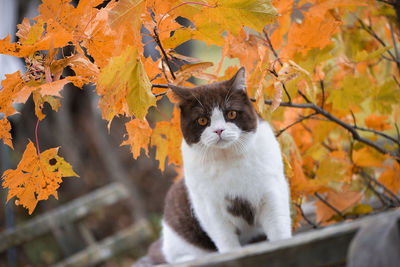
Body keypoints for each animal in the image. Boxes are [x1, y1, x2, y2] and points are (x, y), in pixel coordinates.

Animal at [134, 67, 290, 266]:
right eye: (202, 120)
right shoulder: (209, 208)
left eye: (231, 114)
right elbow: (227, 242)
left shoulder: (272, 190)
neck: (227, 158)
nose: (219, 130)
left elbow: (279, 229)